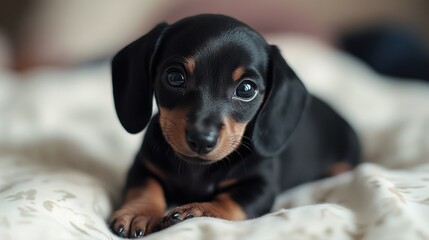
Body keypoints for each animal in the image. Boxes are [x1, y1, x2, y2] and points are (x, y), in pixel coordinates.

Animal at [108, 14, 360, 237]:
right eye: (175, 77)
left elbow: (229, 200)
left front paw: (198, 210)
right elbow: (145, 186)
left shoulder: (262, 185)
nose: (202, 140)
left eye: (246, 89)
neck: (197, 170)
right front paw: (138, 213)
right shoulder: (143, 164)